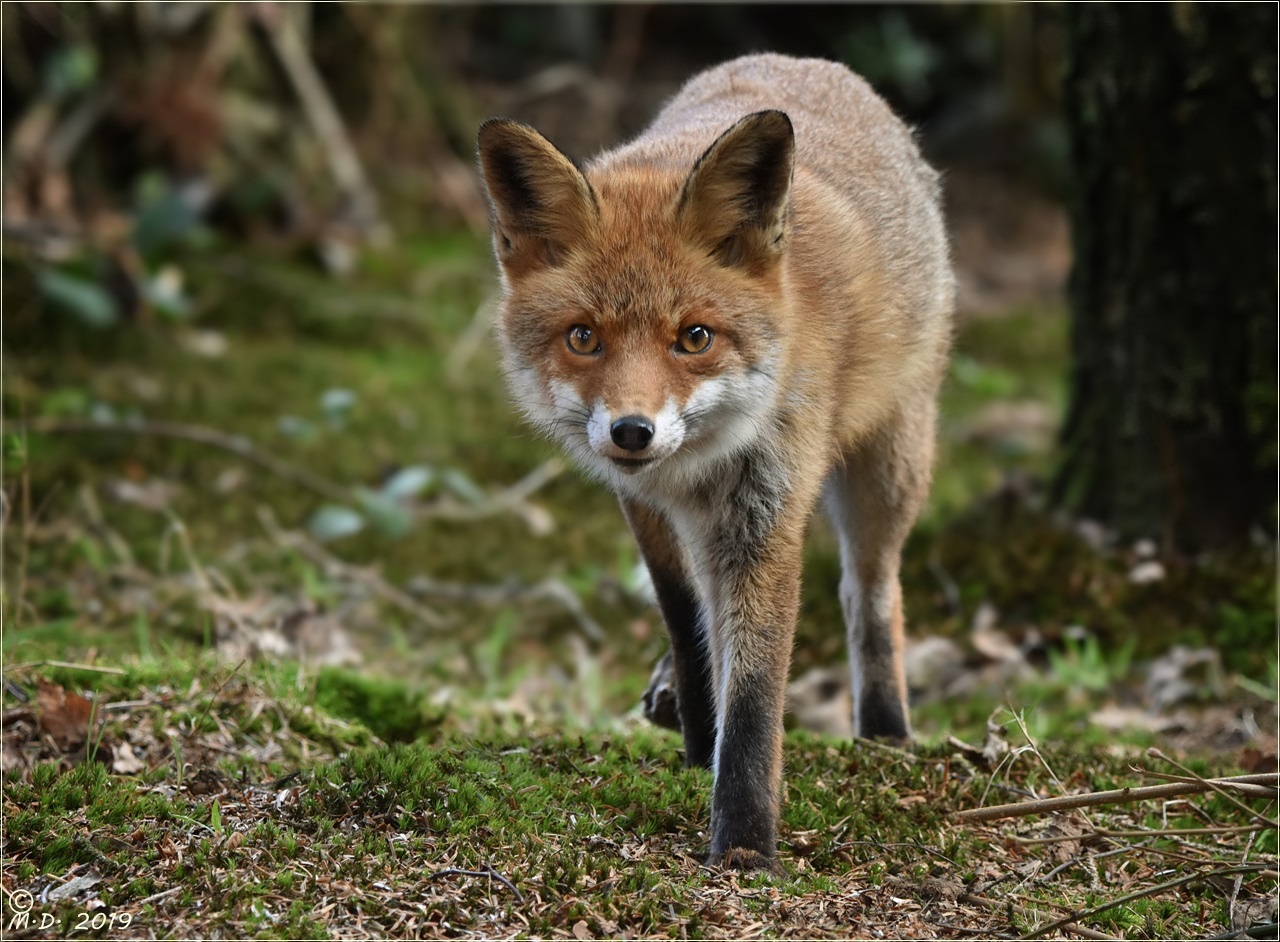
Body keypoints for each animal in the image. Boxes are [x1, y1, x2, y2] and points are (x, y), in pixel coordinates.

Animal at [478, 55, 952, 870]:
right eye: (582, 337)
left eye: (694, 337)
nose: (632, 432)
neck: (692, 467)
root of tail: (807, 63)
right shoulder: (643, 503)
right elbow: (685, 619)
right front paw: (701, 743)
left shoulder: (767, 509)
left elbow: (756, 689)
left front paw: (745, 840)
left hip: (890, 465)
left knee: (869, 591)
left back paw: (886, 730)